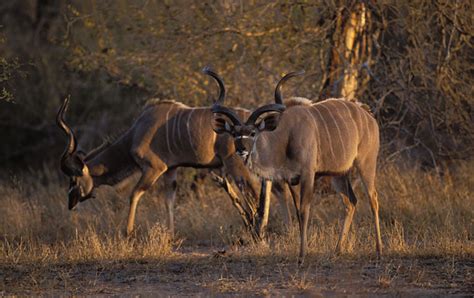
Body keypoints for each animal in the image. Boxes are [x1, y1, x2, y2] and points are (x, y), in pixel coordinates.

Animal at [56, 68, 266, 237]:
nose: (70, 203)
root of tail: (254, 128)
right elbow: (169, 201)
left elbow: (134, 194)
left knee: (253, 192)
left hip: (235, 164)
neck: (135, 134)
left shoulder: (153, 168)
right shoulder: (171, 170)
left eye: (73, 180)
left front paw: (128, 233)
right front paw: (171, 236)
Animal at [213, 71, 384, 262]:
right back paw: (338, 250)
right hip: (339, 174)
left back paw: (379, 250)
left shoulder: (308, 174)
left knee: (373, 199)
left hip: (366, 163)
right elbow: (297, 212)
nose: (241, 149)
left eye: (252, 133)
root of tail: (368, 115)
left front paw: (302, 256)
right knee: (351, 202)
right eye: (234, 133)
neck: (285, 135)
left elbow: (303, 210)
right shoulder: (291, 179)